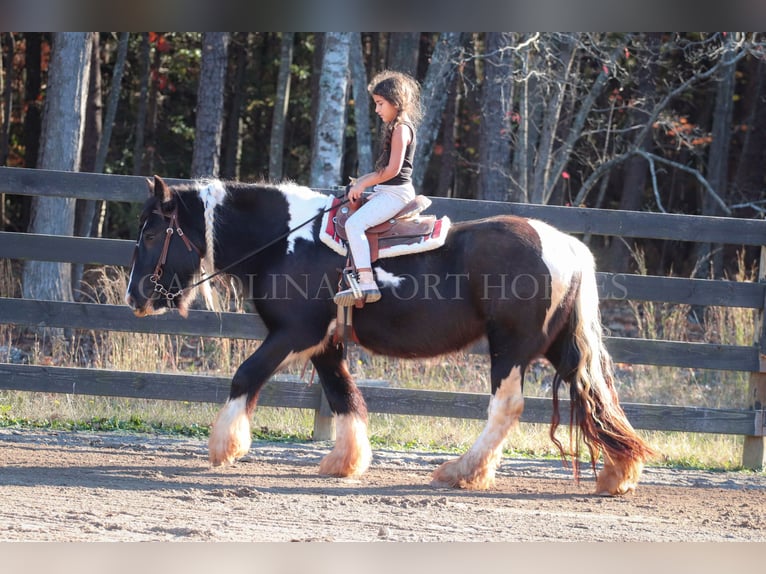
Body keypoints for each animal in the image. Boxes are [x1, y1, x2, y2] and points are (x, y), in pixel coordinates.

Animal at [124, 174, 656, 496]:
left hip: (511, 348)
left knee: (507, 408)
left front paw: (225, 446)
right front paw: (346, 461)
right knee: (597, 396)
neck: (288, 242)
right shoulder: (326, 343)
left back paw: (462, 472)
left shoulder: (293, 333)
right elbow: (344, 396)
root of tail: (567, 247)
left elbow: (246, 375)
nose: (134, 296)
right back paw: (619, 472)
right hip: (557, 347)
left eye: (151, 233)